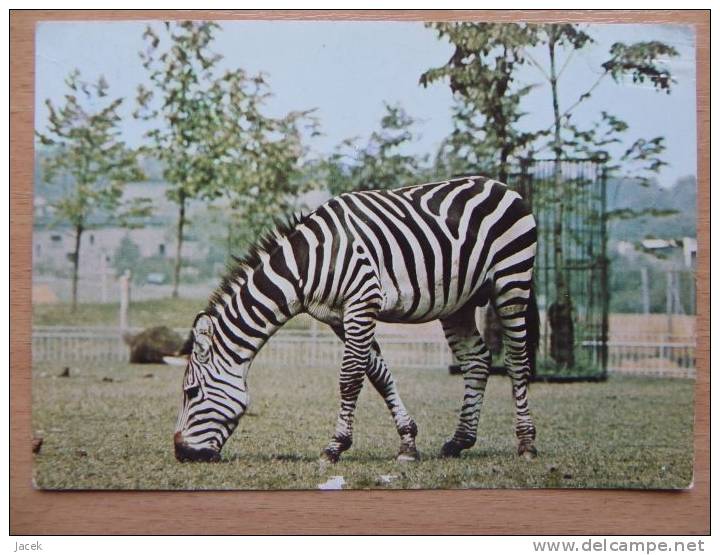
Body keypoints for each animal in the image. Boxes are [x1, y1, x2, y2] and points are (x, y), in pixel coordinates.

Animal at [169, 176, 540, 462]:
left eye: (191, 392)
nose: (182, 454)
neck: (306, 264)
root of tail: (500, 184)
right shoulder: (339, 318)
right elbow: (379, 376)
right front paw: (408, 443)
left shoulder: (362, 302)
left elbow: (350, 379)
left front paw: (334, 447)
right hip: (458, 304)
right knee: (476, 361)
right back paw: (459, 441)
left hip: (512, 282)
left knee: (517, 362)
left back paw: (526, 444)